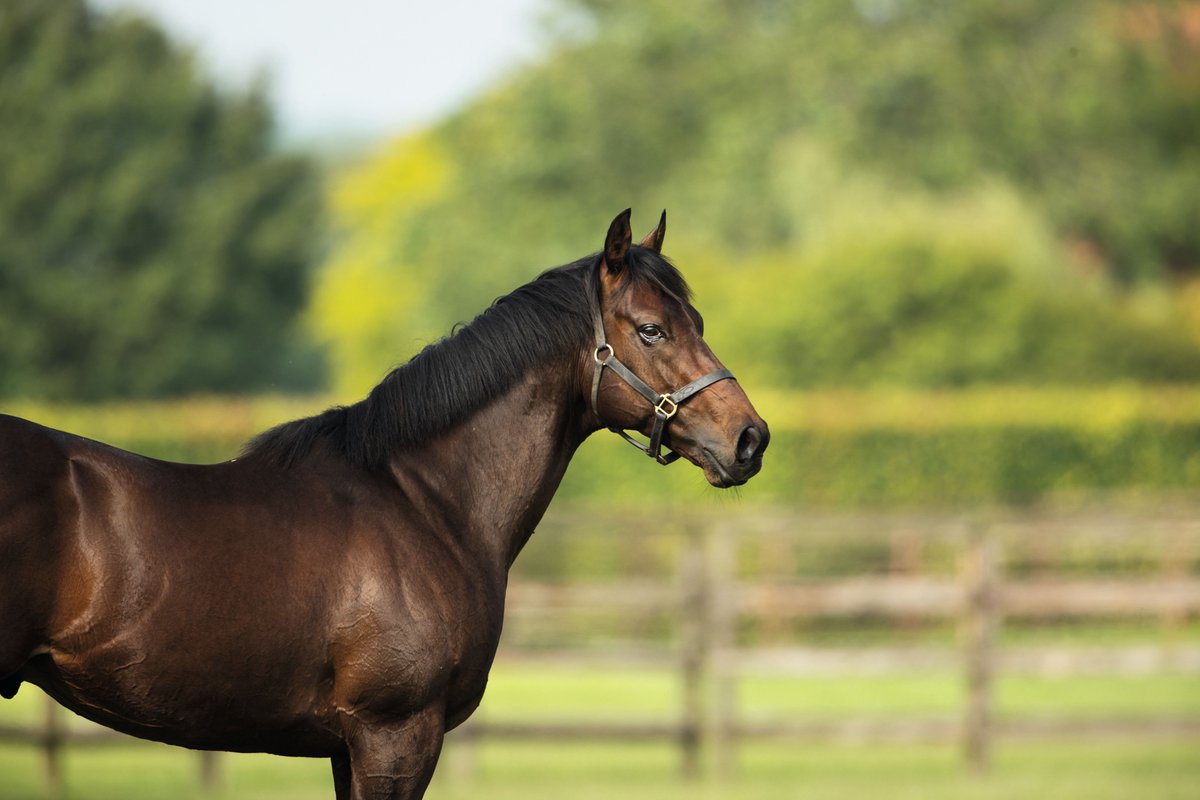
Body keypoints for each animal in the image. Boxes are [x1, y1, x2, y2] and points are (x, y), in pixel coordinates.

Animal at [0, 210, 769, 799]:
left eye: (697, 319)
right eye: (651, 329)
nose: (750, 439)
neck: (424, 504)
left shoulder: (349, 747)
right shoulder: (394, 735)